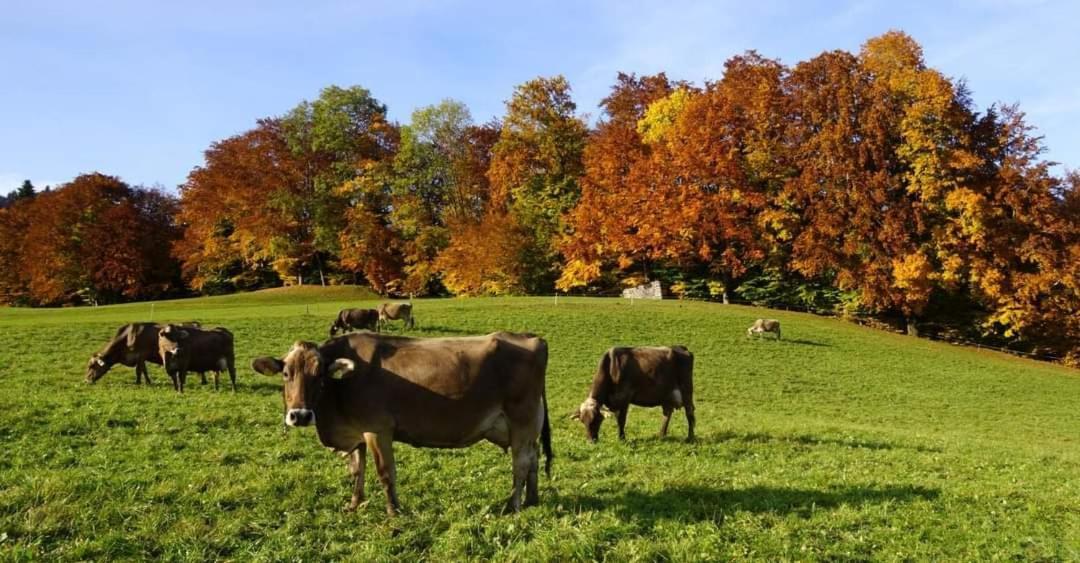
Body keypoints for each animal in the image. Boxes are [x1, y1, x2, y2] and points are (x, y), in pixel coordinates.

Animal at [251, 330, 552, 516]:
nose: (300, 415)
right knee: (533, 458)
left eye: (320, 374)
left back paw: (512, 505)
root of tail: (531, 338)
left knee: (521, 462)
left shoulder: (377, 428)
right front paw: (353, 505)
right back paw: (532, 500)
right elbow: (357, 471)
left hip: (522, 418)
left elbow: (385, 472)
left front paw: (393, 511)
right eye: (286, 374)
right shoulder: (357, 432)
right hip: (528, 424)